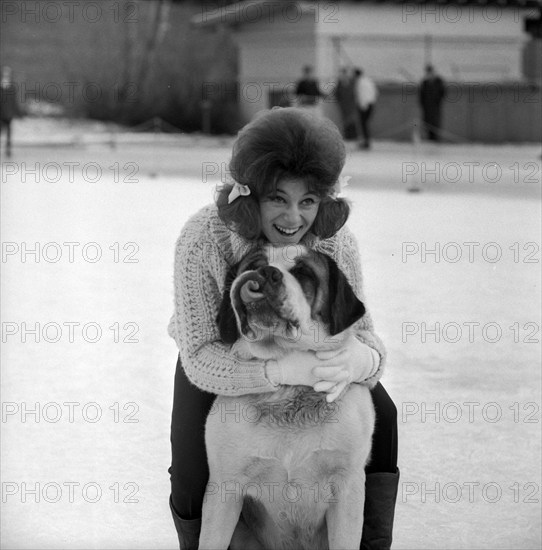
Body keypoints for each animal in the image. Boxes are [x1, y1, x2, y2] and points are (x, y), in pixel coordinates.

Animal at [201, 245, 378, 550]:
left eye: (304, 272)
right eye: (254, 263)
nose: (264, 273)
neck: (288, 392)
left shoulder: (348, 488)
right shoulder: (225, 488)